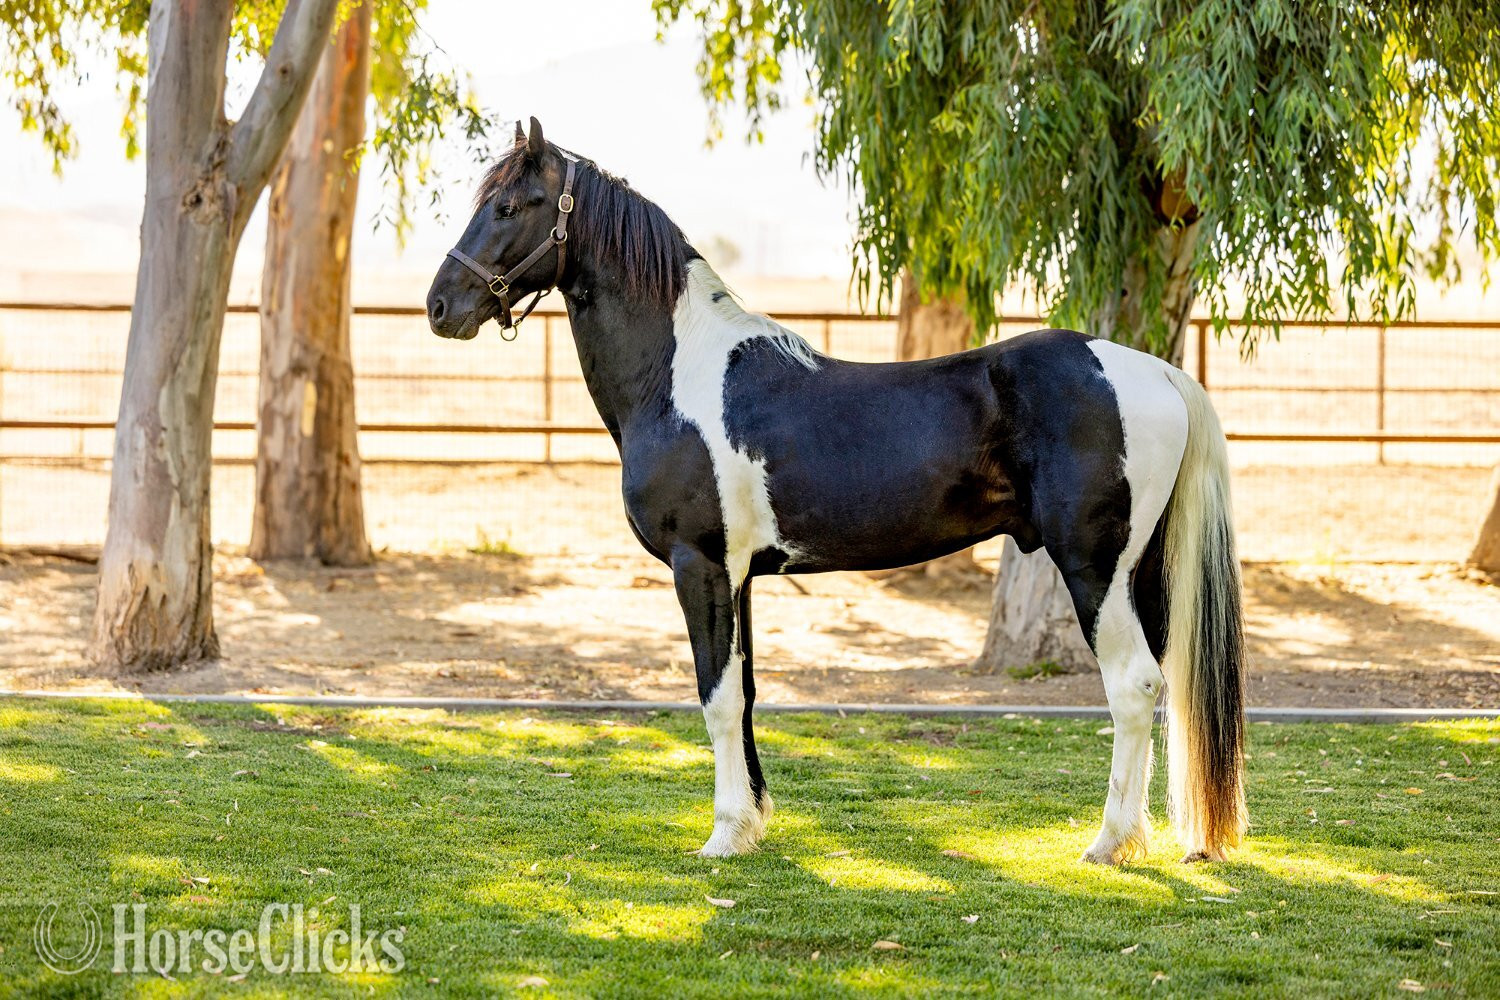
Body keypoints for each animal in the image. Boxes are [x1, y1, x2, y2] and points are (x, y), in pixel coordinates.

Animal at [426, 118, 1247, 865]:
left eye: (512, 205)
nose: (441, 306)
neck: (677, 374)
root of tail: (1153, 370)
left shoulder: (700, 565)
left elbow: (716, 698)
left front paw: (722, 837)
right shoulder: (739, 576)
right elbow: (747, 693)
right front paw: (752, 823)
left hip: (1094, 568)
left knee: (1133, 686)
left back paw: (1107, 845)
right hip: (1141, 572)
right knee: (1160, 686)